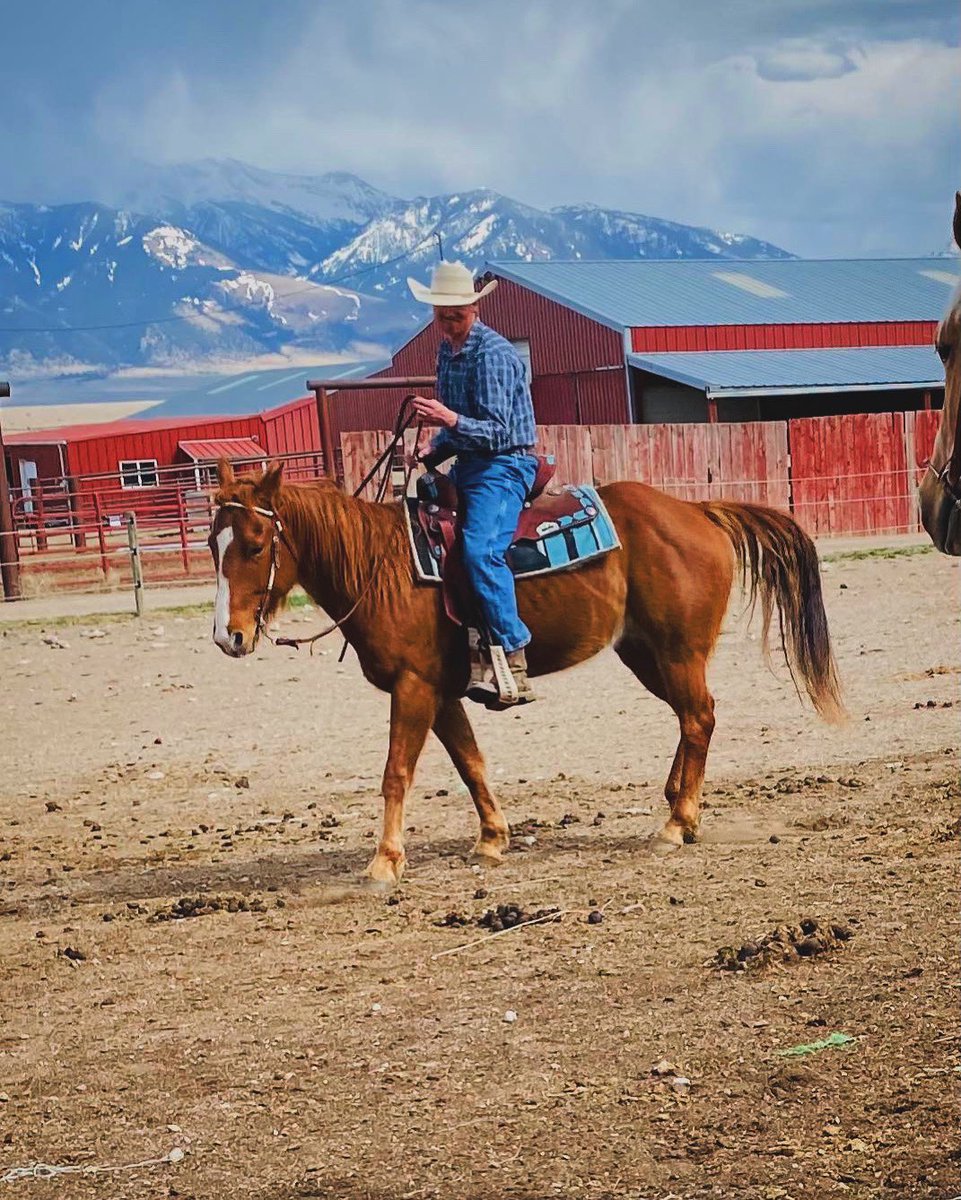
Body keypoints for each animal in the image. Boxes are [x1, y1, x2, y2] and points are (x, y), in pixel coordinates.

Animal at [208, 457, 843, 886]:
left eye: (256, 543)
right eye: (214, 544)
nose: (227, 636)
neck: (379, 565)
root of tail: (696, 512)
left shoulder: (412, 687)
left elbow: (396, 774)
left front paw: (384, 861)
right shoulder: (440, 692)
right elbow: (471, 765)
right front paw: (492, 839)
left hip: (678, 650)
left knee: (699, 719)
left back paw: (677, 821)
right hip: (644, 653)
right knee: (693, 719)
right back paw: (679, 810)